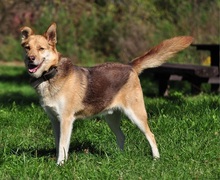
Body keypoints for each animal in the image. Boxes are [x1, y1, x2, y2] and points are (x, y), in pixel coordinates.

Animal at [20, 22, 192, 165]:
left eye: (41, 48)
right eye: (27, 47)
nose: (30, 59)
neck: (50, 75)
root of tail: (130, 66)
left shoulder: (66, 120)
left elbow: (63, 145)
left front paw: (60, 165)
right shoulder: (55, 121)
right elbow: (58, 145)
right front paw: (57, 161)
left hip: (136, 115)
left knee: (151, 135)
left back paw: (156, 158)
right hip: (111, 117)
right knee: (122, 136)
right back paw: (120, 157)